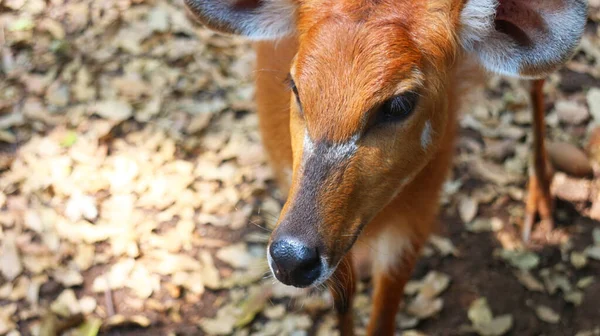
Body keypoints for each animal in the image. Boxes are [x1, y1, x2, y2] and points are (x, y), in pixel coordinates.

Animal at [184, 0, 584, 334]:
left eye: (399, 104)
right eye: (295, 86)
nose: (290, 259)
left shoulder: (416, 214)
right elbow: (343, 300)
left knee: (536, 82)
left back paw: (541, 205)